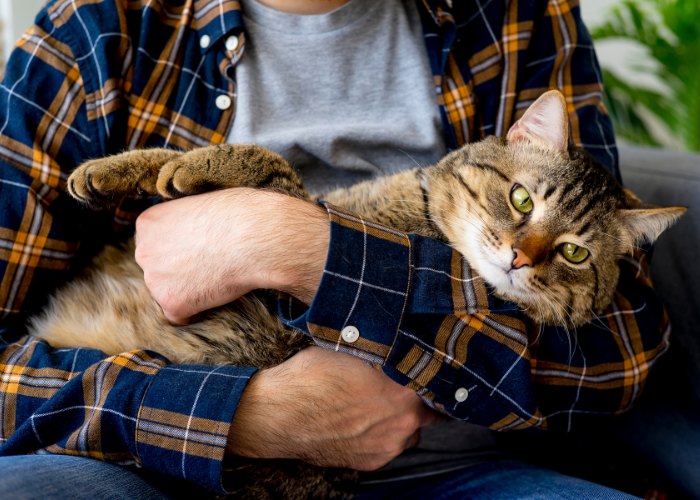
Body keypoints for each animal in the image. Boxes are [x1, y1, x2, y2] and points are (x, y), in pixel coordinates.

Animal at [26, 92, 684, 498]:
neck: (420, 221)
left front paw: (181, 167)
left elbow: (269, 166)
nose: (521, 257)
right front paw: (117, 170)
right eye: (521, 199)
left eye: (574, 254)